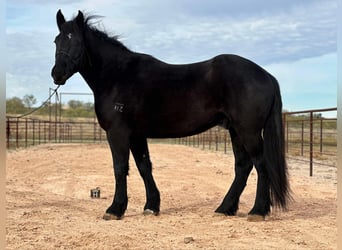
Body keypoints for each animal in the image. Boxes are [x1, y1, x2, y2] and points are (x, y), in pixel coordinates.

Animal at [51, 9, 292, 221]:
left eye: (76, 41)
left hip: (248, 131)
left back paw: (257, 211)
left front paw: (115, 209)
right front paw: (151, 206)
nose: (57, 74)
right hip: (235, 130)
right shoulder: (137, 134)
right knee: (243, 166)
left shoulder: (118, 132)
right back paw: (225, 208)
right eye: (56, 40)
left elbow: (120, 168)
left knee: (260, 164)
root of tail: (266, 75)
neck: (117, 75)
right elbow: (144, 167)